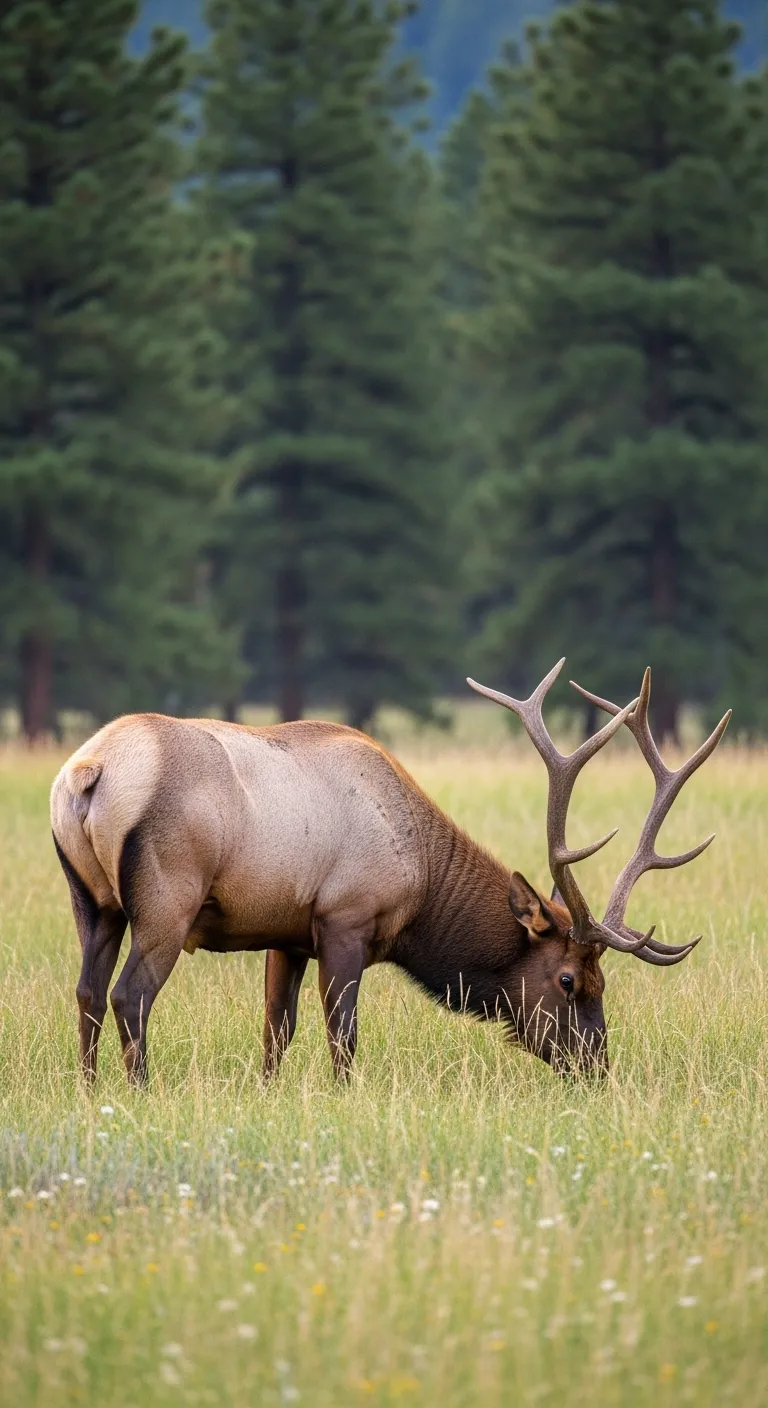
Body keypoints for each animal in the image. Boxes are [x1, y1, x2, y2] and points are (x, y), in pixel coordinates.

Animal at [50, 660, 729, 1087]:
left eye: (603, 982)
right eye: (568, 980)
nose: (597, 1067)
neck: (421, 885)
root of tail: (89, 772)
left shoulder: (286, 933)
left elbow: (276, 1031)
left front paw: (267, 1093)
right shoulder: (344, 920)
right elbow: (342, 1035)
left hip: (94, 902)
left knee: (86, 991)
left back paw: (90, 1091)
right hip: (167, 901)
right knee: (129, 995)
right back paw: (139, 1092)